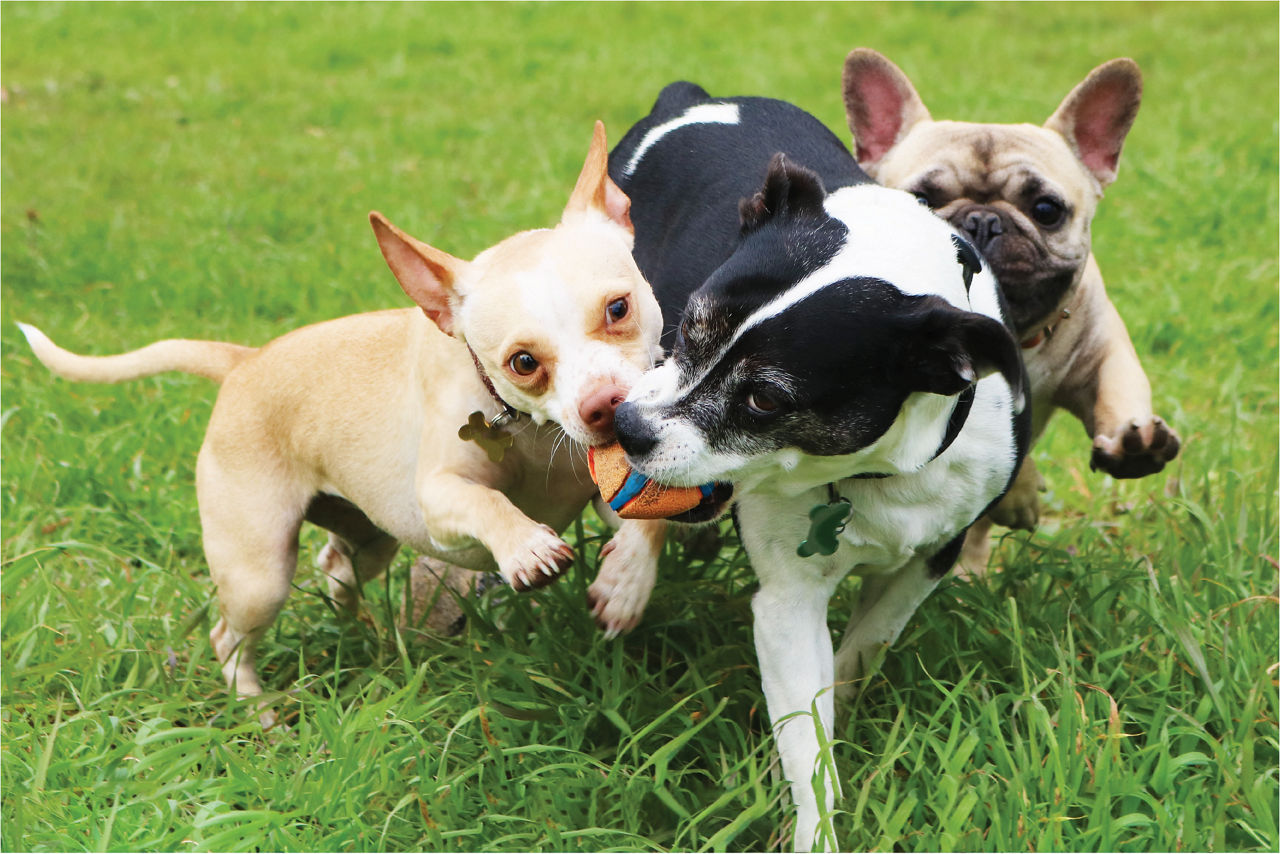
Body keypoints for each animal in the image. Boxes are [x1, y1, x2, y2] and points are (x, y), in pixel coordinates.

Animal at [22, 125, 670, 727]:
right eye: (524, 362)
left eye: (618, 308)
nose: (604, 405)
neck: (535, 435)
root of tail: (243, 362)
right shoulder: (439, 497)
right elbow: (487, 503)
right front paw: (526, 545)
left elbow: (650, 523)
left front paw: (626, 583)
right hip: (259, 576)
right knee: (229, 637)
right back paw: (257, 709)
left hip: (369, 539)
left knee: (336, 570)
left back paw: (358, 631)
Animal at [606, 83, 1029, 850]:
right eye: (691, 330)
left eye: (767, 398)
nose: (628, 427)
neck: (871, 470)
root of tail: (696, 97)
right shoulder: (788, 603)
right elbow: (809, 741)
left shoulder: (933, 555)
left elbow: (865, 647)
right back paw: (626, 579)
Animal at [839, 50, 1177, 568]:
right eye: (921, 201)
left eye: (1046, 210)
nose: (982, 221)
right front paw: (1020, 493)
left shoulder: (1102, 353)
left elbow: (1119, 392)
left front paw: (1134, 443)